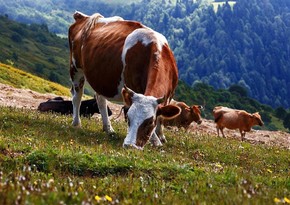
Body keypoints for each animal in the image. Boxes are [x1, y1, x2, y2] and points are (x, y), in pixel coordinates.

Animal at [69, 11, 180, 149]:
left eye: (150, 121)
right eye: (129, 118)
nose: (129, 145)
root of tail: (84, 17)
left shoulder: (169, 94)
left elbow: (161, 116)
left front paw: (161, 136)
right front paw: (156, 141)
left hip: (100, 76)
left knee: (100, 99)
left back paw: (108, 128)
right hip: (75, 68)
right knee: (77, 97)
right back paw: (76, 123)